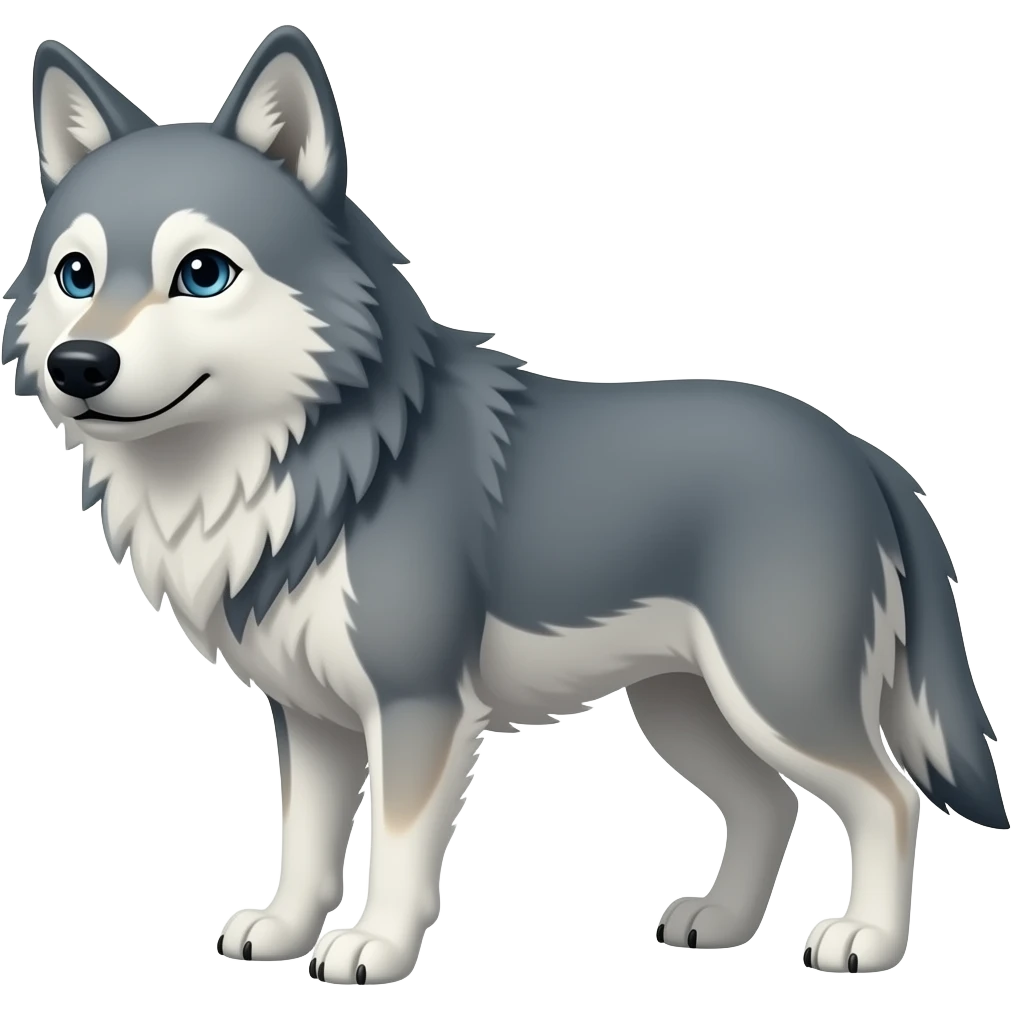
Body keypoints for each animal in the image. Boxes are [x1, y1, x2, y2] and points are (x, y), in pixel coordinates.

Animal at [4, 26, 1005, 985]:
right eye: (76, 274)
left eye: (203, 273)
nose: (78, 366)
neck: (312, 462)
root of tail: (859, 450)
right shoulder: (313, 716)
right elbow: (306, 841)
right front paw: (285, 930)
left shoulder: (416, 705)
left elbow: (395, 846)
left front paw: (374, 948)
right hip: (685, 707)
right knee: (770, 802)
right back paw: (718, 923)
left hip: (777, 695)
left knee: (885, 797)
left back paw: (865, 939)